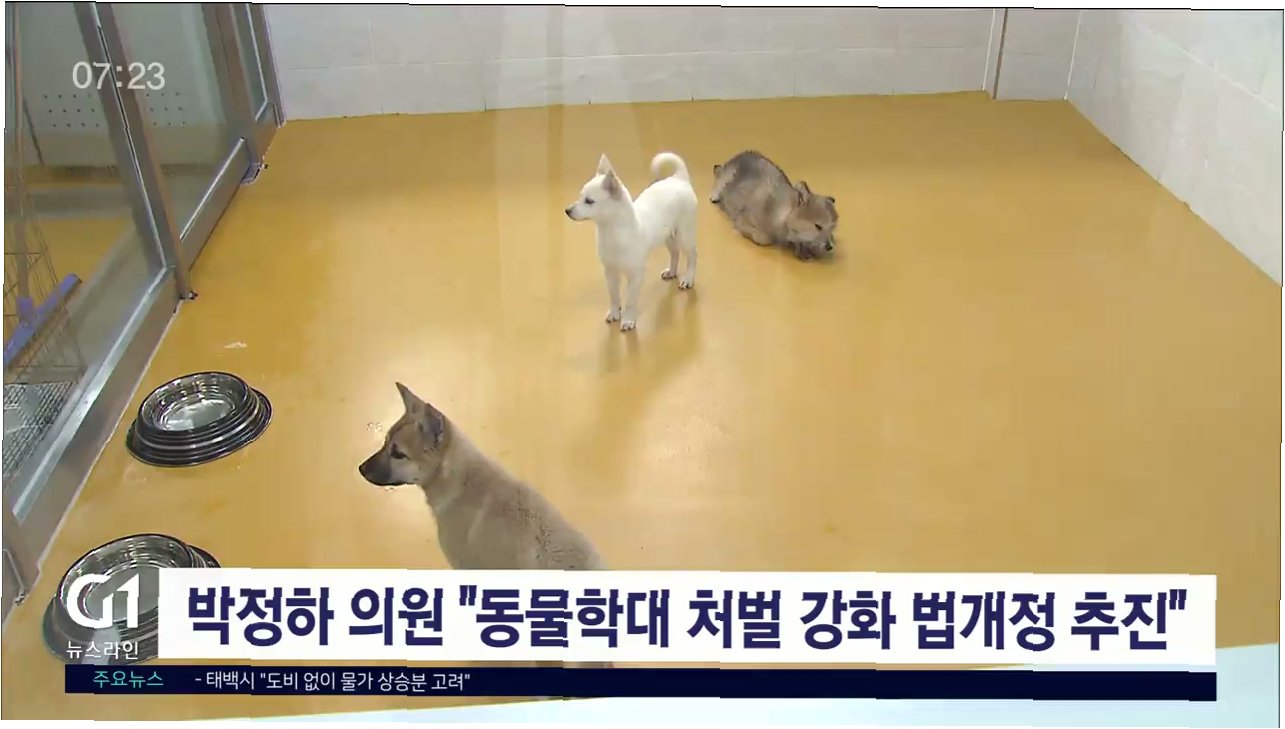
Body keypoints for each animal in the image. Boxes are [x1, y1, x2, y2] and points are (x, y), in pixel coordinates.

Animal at [565, 152, 698, 332]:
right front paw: (615, 312)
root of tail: (679, 178)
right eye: (580, 197)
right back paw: (671, 271)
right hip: (667, 236)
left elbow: (630, 300)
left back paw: (688, 279)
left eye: (589, 201)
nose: (567, 210)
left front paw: (628, 320)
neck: (612, 233)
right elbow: (614, 296)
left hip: (684, 235)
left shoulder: (636, 275)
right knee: (675, 252)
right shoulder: (610, 272)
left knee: (692, 255)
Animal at [709, 150, 838, 260]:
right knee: (719, 182)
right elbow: (763, 238)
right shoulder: (744, 220)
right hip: (726, 176)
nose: (830, 247)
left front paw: (801, 248)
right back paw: (716, 196)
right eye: (818, 226)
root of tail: (742, 154)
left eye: (832, 228)